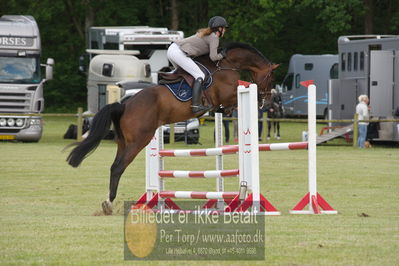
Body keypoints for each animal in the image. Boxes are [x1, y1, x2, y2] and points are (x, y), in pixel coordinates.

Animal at [67, 42, 280, 215]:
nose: (268, 101)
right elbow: (236, 98)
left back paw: (110, 202)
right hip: (139, 141)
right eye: (271, 76)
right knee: (119, 167)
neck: (226, 64)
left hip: (123, 142)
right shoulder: (228, 95)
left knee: (114, 166)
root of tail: (124, 105)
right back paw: (109, 204)